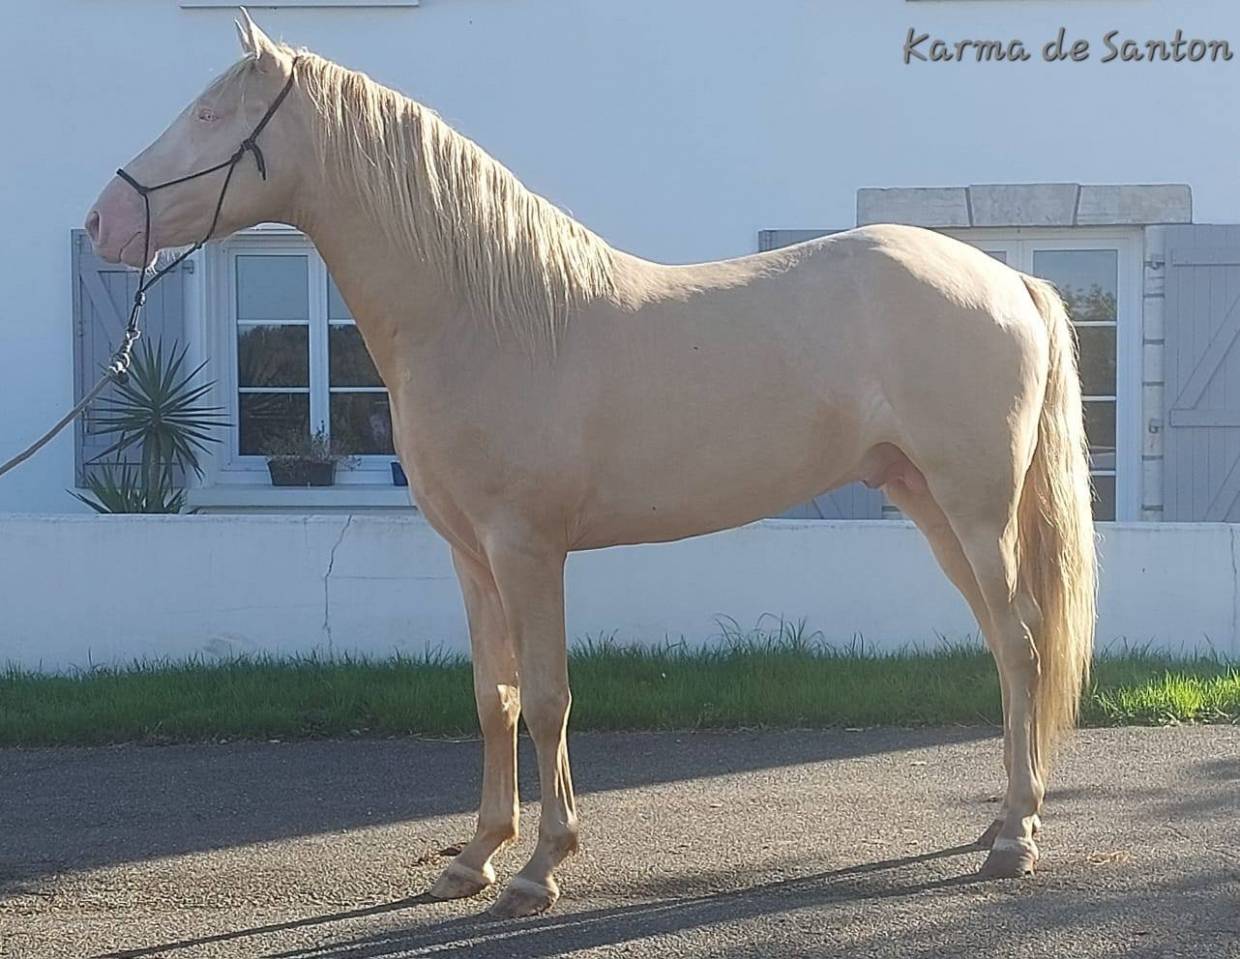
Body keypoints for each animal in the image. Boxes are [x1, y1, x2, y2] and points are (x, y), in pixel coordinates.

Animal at [86, 11, 1096, 918]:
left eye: (210, 114)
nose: (103, 219)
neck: (483, 314)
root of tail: (1010, 279)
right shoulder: (470, 554)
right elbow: (492, 697)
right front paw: (475, 857)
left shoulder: (528, 548)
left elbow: (546, 695)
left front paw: (540, 865)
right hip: (929, 504)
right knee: (1007, 648)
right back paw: (1002, 818)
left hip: (975, 509)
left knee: (1021, 644)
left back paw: (1014, 837)